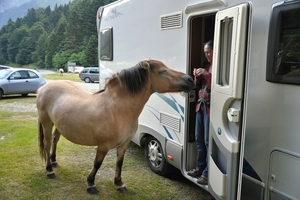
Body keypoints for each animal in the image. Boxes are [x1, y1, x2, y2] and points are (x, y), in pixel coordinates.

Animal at [35, 58, 195, 195]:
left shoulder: (124, 144)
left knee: (55, 140)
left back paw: (54, 161)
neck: (118, 108)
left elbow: (119, 163)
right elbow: (97, 163)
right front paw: (91, 184)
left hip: (58, 125)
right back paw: (49, 170)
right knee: (47, 143)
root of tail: (43, 88)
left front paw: (119, 184)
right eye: (162, 71)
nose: (190, 79)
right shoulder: (103, 146)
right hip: (46, 122)